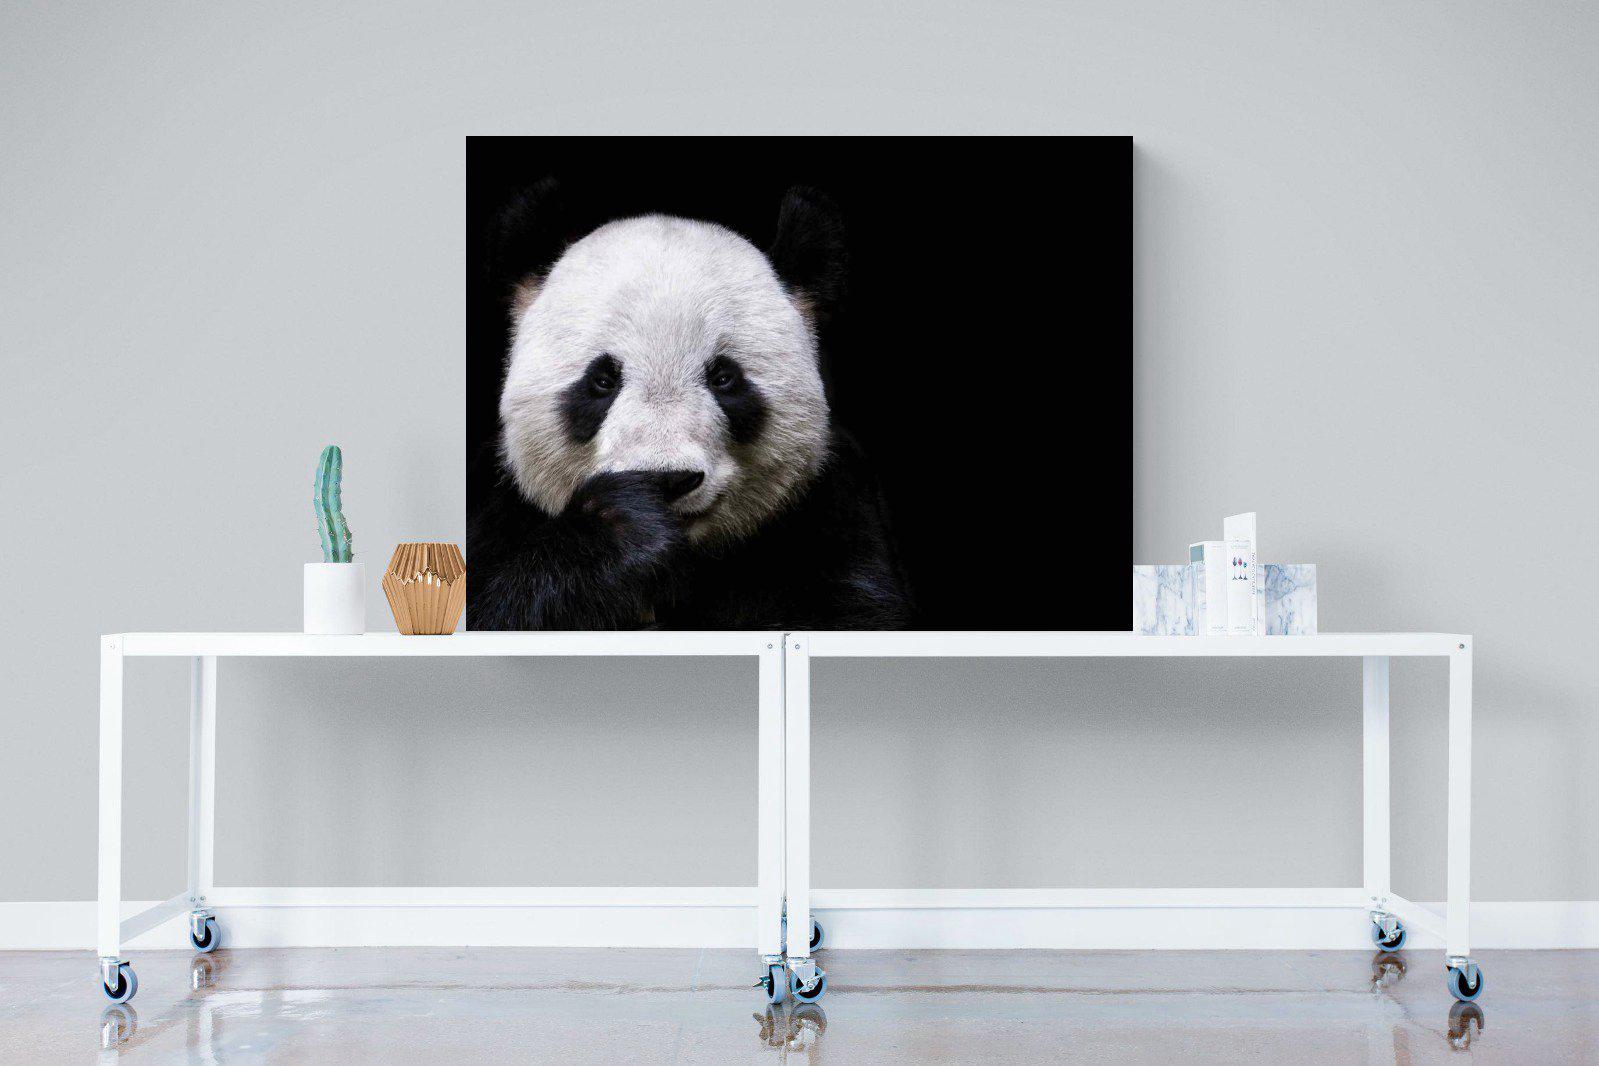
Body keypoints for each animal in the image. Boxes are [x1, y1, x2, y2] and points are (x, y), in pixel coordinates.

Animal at [467, 183, 913, 631]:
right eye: (602, 381)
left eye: (723, 377)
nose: (667, 479)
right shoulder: (497, 508)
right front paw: (623, 526)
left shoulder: (832, 510)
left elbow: (852, 613)